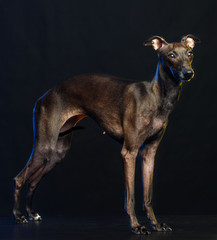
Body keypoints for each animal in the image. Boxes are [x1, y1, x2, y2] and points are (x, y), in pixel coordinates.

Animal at [13, 34, 200, 234]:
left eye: (190, 53)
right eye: (171, 55)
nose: (188, 73)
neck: (157, 97)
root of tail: (43, 96)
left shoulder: (149, 154)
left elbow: (147, 196)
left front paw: (156, 224)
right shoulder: (129, 152)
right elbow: (130, 196)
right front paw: (136, 226)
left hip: (57, 152)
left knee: (33, 181)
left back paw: (31, 214)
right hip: (45, 147)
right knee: (19, 178)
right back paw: (19, 216)